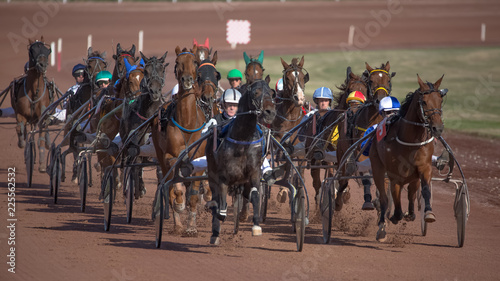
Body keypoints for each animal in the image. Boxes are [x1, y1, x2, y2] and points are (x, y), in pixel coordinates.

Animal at [10, 36, 54, 173]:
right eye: (32, 51)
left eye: (47, 50)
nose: (42, 65)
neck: (34, 92)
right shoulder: (20, 114)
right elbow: (20, 128)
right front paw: (22, 143)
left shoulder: (42, 116)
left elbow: (41, 138)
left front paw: (41, 164)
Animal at [151, 44, 208, 235]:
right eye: (177, 62)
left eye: (195, 61)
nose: (187, 79)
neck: (187, 123)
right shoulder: (171, 158)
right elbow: (175, 190)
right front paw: (179, 205)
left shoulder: (197, 161)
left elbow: (194, 197)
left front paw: (191, 227)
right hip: (160, 155)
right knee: (168, 186)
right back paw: (177, 224)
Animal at [206, 76, 278, 243]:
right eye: (256, 92)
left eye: (272, 93)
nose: (270, 112)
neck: (242, 138)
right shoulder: (223, 176)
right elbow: (220, 204)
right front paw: (217, 212)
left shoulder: (253, 173)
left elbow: (255, 196)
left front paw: (256, 226)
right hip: (212, 174)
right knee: (216, 196)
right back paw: (215, 232)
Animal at [370, 74, 448, 241]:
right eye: (424, 102)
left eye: (440, 100)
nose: (438, 128)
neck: (411, 140)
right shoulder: (394, 175)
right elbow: (394, 199)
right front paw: (393, 217)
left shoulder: (424, 168)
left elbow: (425, 190)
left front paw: (428, 213)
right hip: (377, 167)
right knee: (384, 199)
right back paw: (382, 226)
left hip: (413, 176)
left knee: (411, 193)